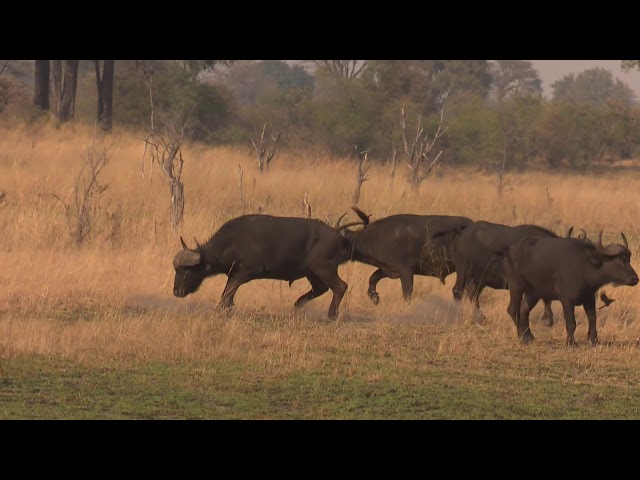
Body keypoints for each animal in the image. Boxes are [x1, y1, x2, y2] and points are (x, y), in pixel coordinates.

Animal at [172, 214, 360, 318]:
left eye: (185, 270)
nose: (176, 292)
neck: (232, 242)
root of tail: (337, 234)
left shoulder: (244, 273)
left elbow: (228, 292)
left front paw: (219, 310)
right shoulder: (234, 274)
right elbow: (228, 293)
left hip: (324, 268)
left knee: (340, 286)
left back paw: (331, 314)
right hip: (313, 273)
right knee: (321, 288)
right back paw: (297, 305)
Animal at [340, 206, 476, 304]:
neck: (378, 237)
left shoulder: (406, 271)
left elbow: (407, 293)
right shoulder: (388, 269)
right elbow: (372, 278)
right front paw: (374, 297)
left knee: (460, 290)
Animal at [504, 230, 636, 344]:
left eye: (629, 260)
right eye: (620, 261)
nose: (635, 279)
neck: (586, 266)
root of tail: (513, 250)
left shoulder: (589, 299)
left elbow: (592, 318)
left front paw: (593, 340)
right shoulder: (567, 301)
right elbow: (571, 322)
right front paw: (571, 342)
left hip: (533, 293)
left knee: (524, 310)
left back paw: (529, 337)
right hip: (516, 287)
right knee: (513, 310)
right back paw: (522, 337)